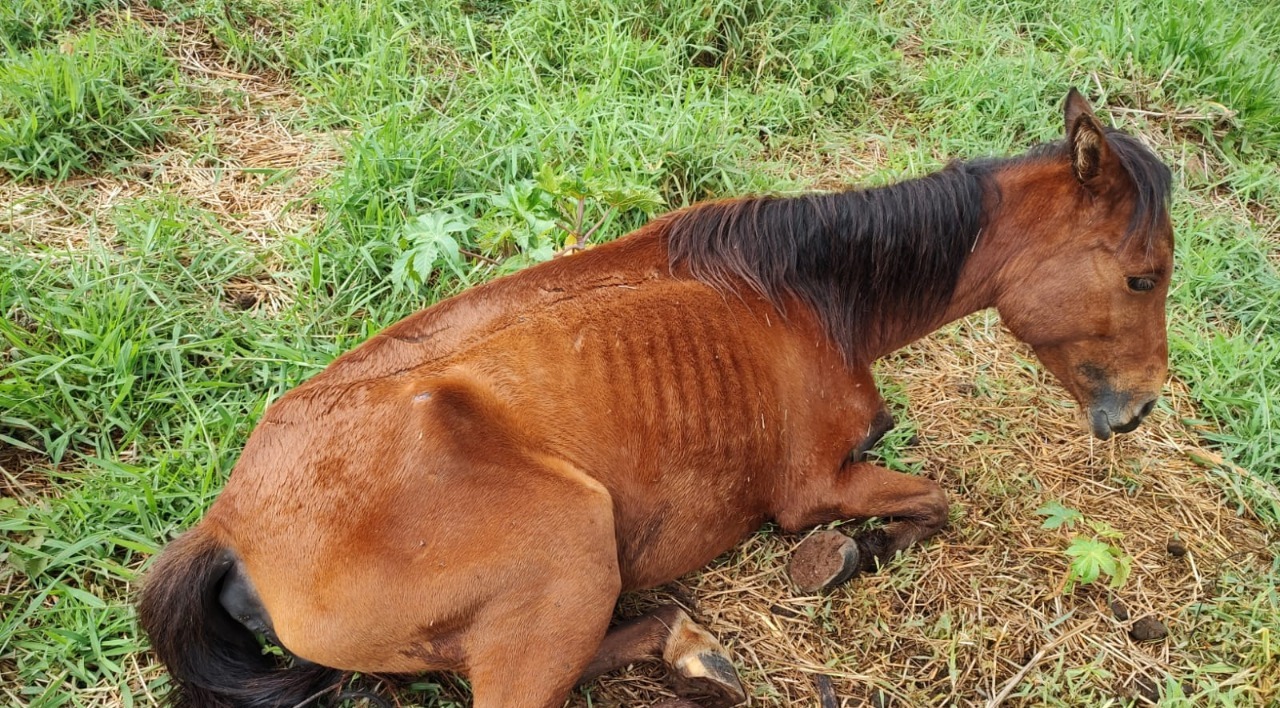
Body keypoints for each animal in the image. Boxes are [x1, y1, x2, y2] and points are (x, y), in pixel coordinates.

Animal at [137, 89, 1172, 706]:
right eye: (1143, 276)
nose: (1139, 408)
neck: (809, 295)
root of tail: (232, 525)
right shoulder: (813, 486)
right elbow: (931, 502)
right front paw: (846, 556)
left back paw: (688, 646)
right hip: (569, 548)